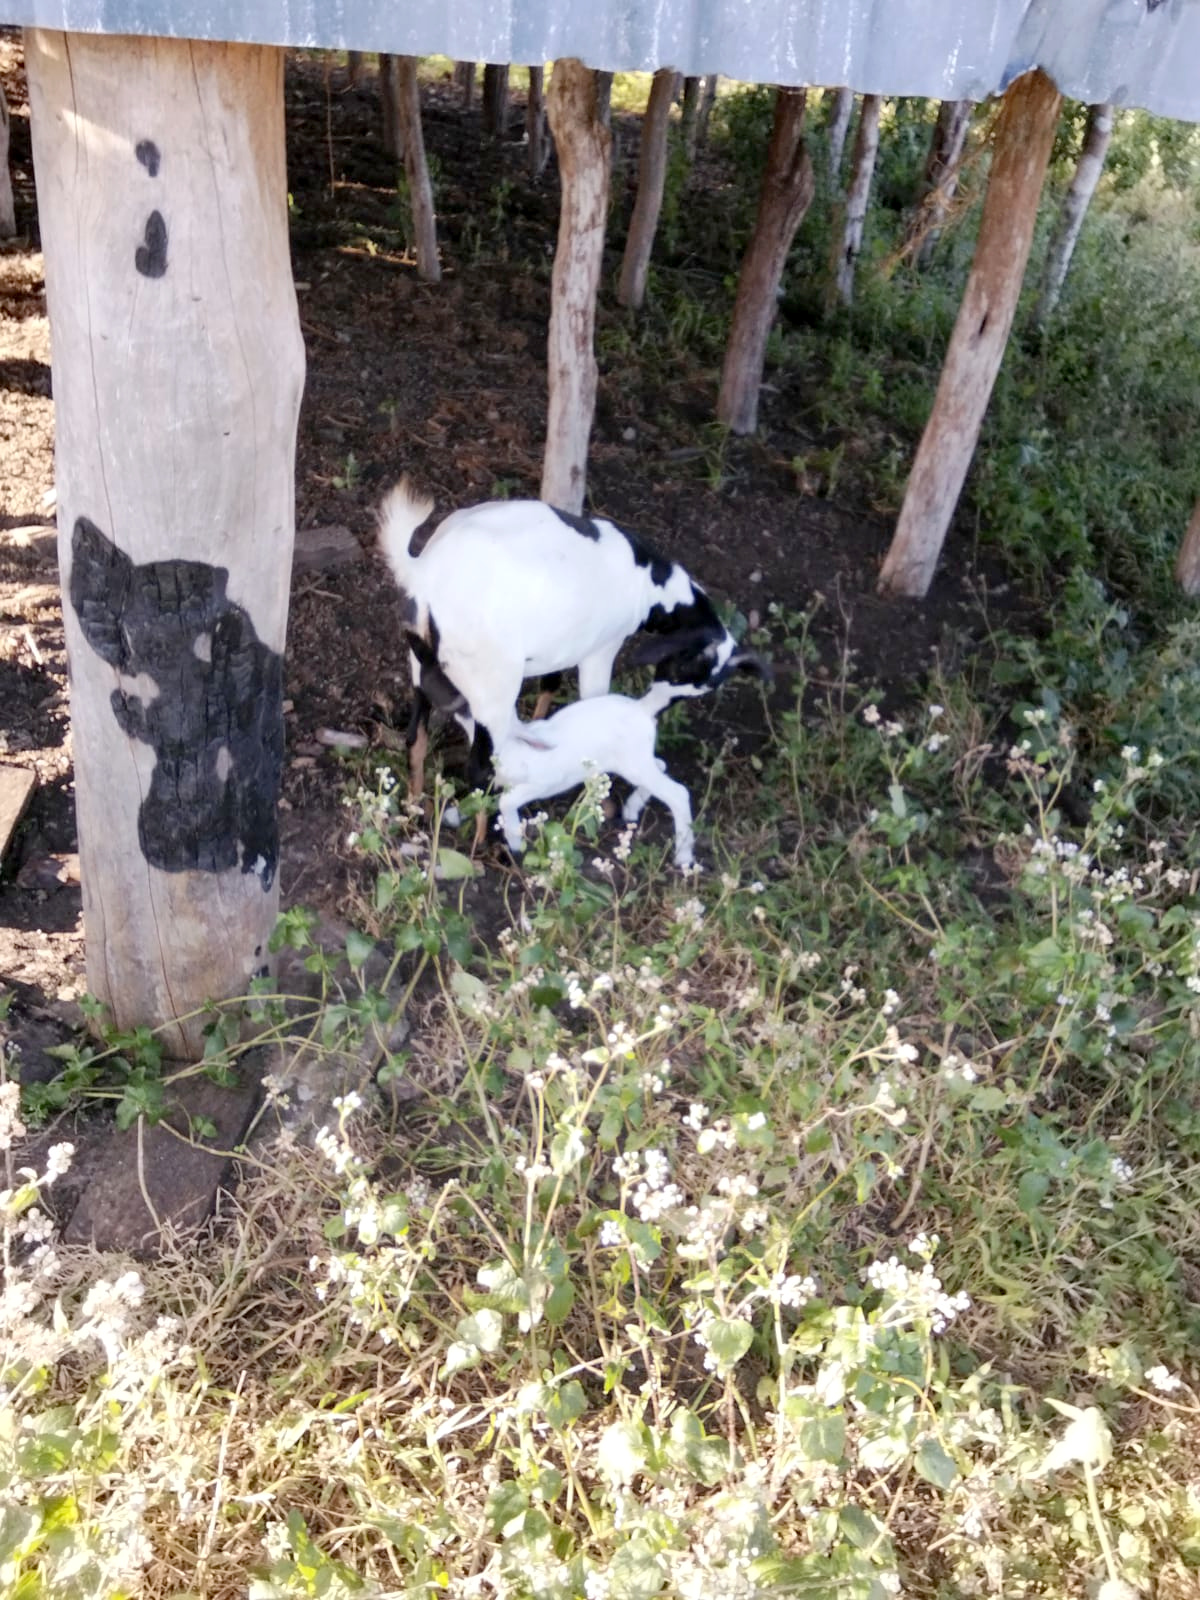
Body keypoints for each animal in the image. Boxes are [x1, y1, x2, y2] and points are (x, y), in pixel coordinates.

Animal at [377, 479, 769, 800]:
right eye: (677, 665)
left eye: (690, 695)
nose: (655, 707)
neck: (649, 582)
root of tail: (427, 572)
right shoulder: (601, 650)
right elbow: (593, 700)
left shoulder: (563, 644)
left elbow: (550, 683)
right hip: (493, 689)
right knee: (481, 765)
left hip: (422, 665)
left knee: (416, 736)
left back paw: (414, 803)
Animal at [493, 680, 699, 870]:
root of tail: (643, 707)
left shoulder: (542, 783)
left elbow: (506, 801)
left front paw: (515, 842)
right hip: (636, 763)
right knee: (661, 766)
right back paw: (631, 809)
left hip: (634, 765)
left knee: (678, 793)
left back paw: (684, 857)